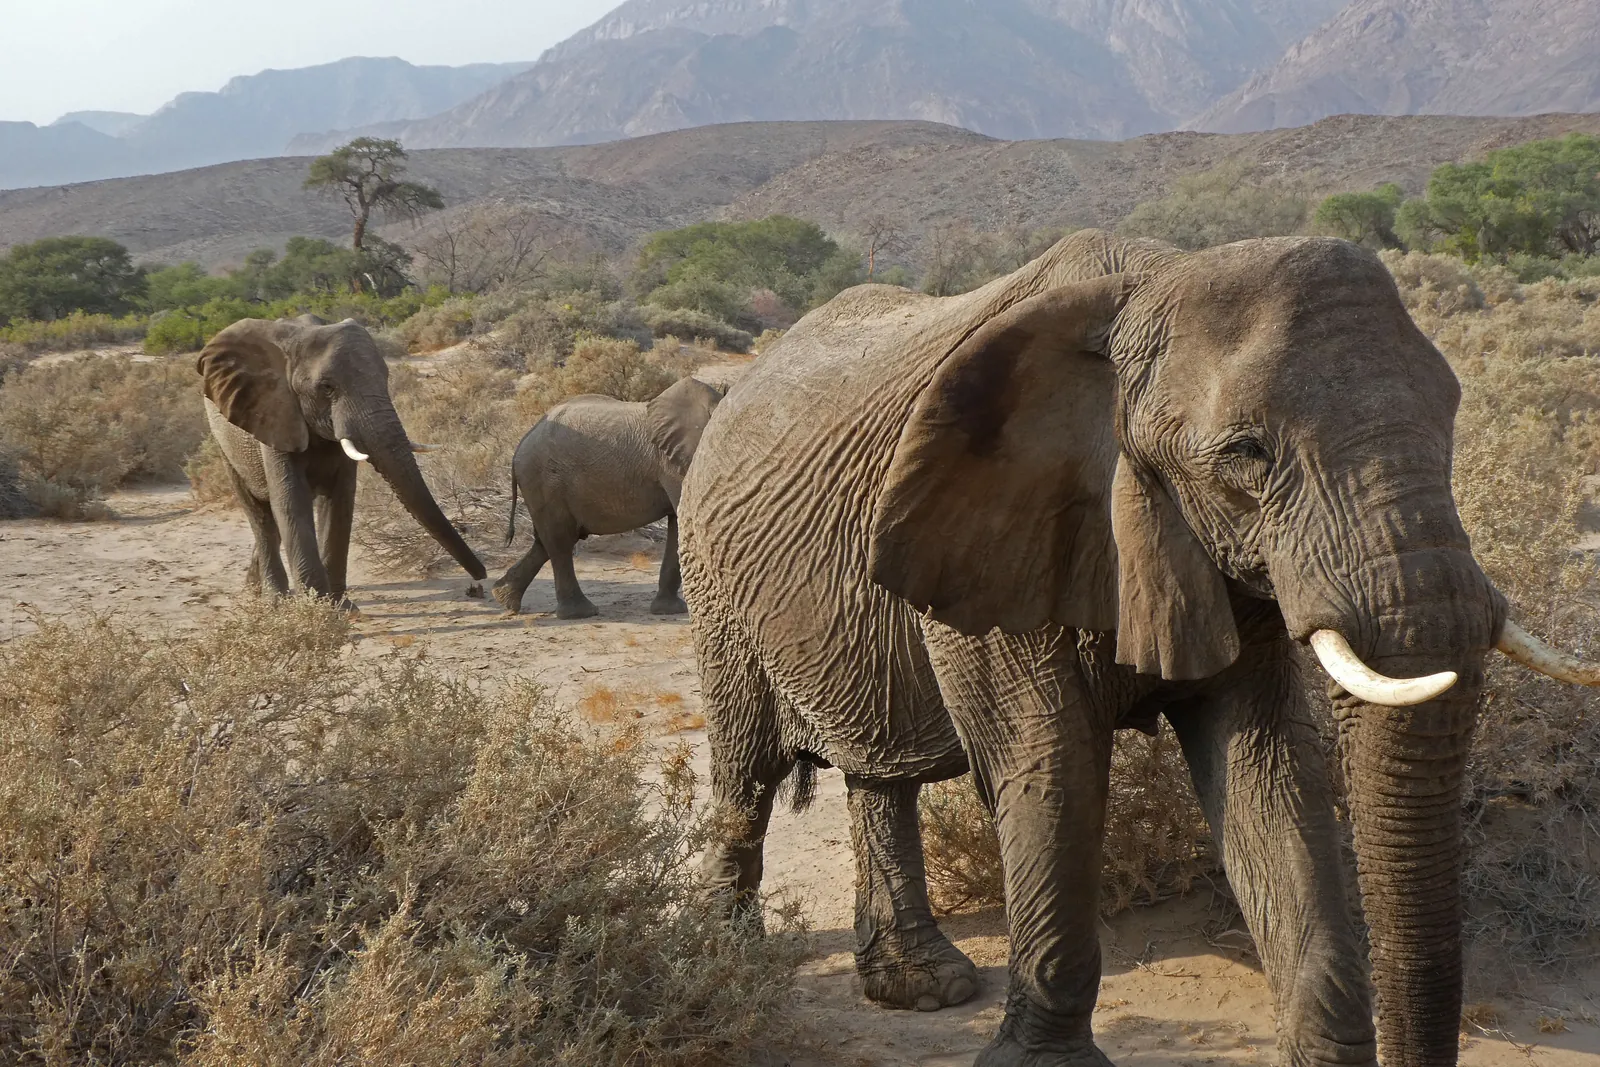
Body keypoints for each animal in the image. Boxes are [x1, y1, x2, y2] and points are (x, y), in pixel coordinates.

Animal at [198, 316, 486, 602]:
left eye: (386, 378)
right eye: (327, 388)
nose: (481, 576)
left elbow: (340, 501)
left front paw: (340, 607)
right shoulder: (277, 416)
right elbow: (292, 504)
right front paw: (318, 608)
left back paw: (253, 590)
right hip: (225, 444)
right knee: (261, 518)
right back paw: (275, 601)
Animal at [491, 375, 723, 618]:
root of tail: (520, 444)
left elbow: (679, 523)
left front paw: (668, 610)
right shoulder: (673, 463)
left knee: (547, 541)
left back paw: (504, 598)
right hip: (543, 479)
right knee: (560, 540)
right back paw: (579, 613)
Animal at [677, 229, 1600, 1067]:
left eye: (1452, 416)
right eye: (1246, 453)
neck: (1153, 282)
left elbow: (1267, 768)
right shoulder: (1008, 523)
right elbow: (1052, 765)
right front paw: (1041, 1066)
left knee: (878, 770)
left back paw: (924, 988)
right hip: (713, 581)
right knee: (747, 768)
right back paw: (723, 963)